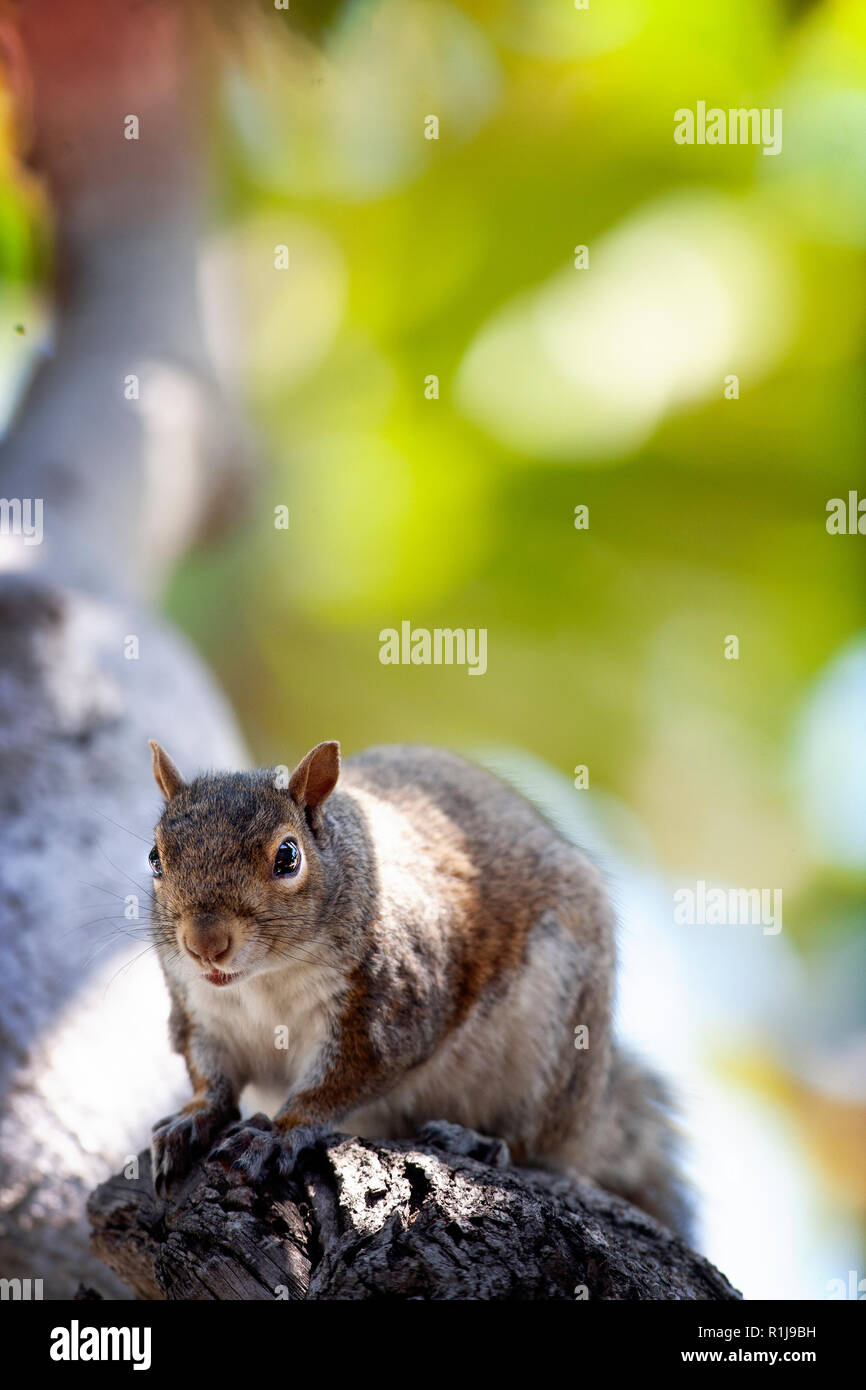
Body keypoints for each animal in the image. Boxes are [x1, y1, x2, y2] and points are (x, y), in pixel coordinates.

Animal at [147, 745, 692, 1234]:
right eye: (155, 857)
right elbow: (210, 1075)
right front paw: (194, 1117)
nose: (205, 944)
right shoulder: (198, 1012)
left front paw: (277, 1135)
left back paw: (479, 1141)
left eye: (287, 856)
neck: (265, 980)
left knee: (536, 1143)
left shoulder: (388, 1009)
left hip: (558, 1039)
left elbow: (339, 1083)